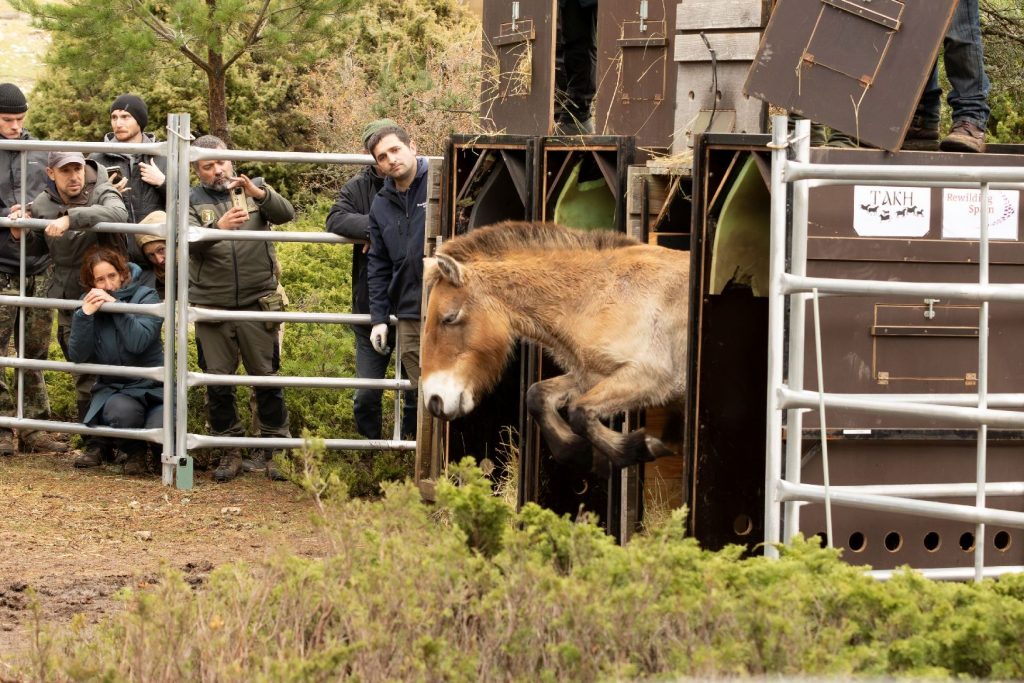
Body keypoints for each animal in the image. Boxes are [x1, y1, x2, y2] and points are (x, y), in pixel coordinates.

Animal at [420, 221, 690, 473]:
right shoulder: (592, 375)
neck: (600, 294)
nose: (434, 401)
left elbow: (579, 412)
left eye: (449, 318)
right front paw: (583, 454)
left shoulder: (651, 376)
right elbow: (537, 396)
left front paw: (641, 447)